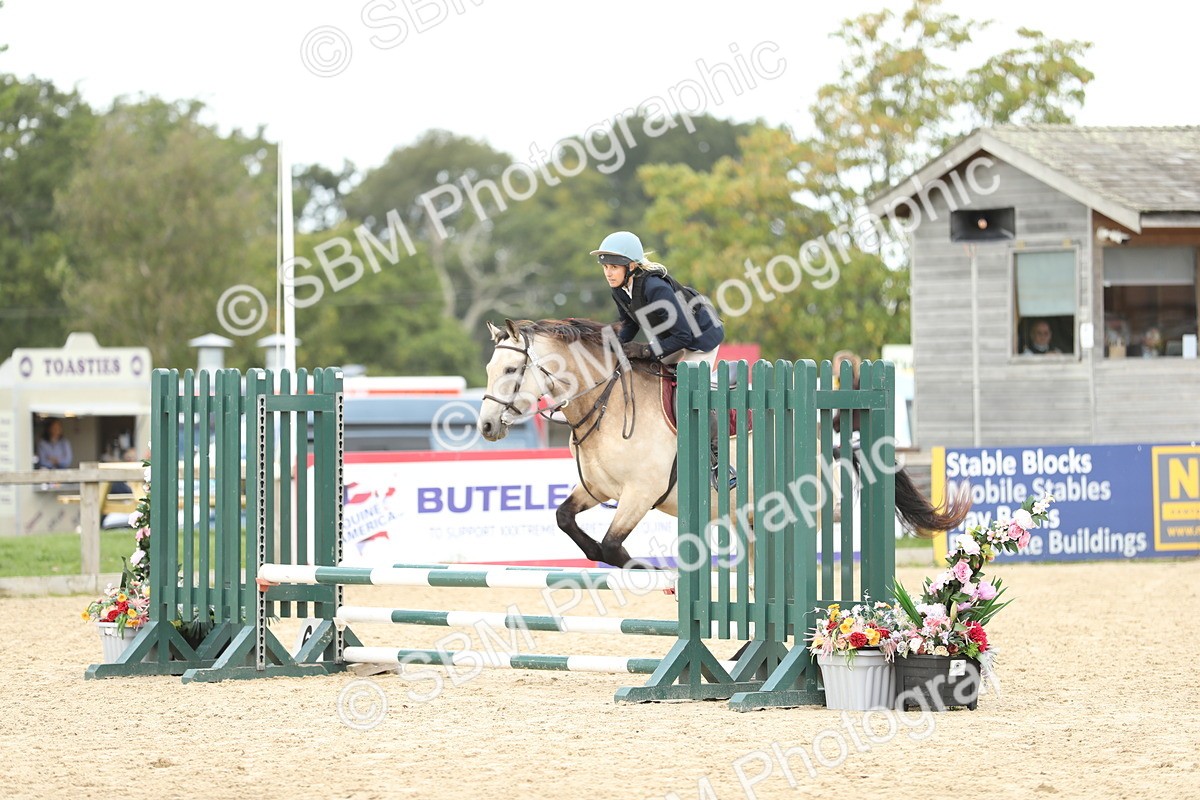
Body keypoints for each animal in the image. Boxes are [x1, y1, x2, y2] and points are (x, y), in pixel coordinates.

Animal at [477, 317, 969, 568]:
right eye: (488, 369)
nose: (485, 426)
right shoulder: (598, 489)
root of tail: (822, 445)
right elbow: (566, 520)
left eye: (510, 370)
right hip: (748, 519)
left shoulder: (640, 493)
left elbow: (615, 546)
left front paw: (644, 572)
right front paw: (596, 556)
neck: (607, 402)